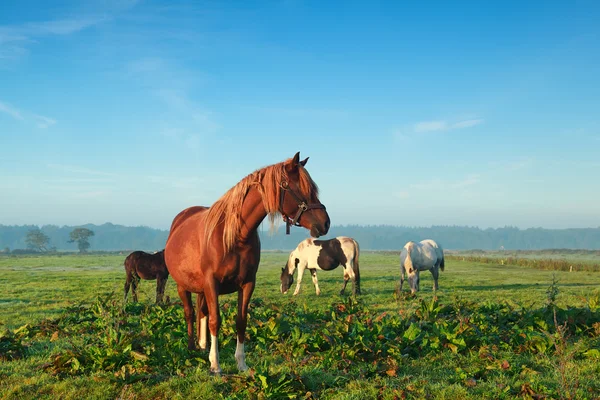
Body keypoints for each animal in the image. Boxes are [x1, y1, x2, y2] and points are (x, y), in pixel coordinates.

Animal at [164, 153, 328, 376]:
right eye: (302, 188)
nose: (325, 223)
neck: (234, 236)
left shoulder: (248, 283)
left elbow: (241, 321)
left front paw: (241, 363)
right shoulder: (212, 284)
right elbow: (216, 320)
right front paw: (215, 365)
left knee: (201, 311)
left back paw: (202, 345)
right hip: (183, 286)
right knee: (189, 313)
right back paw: (191, 348)